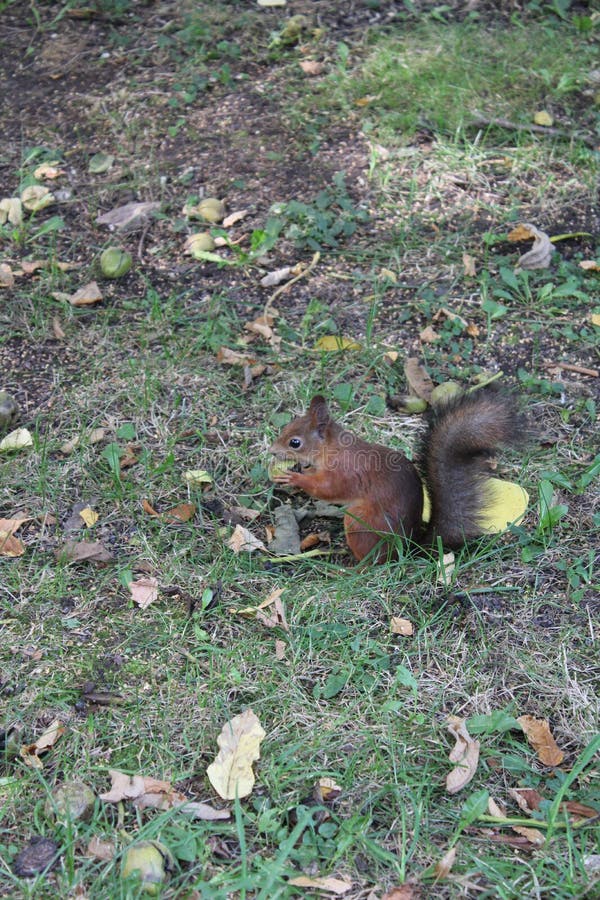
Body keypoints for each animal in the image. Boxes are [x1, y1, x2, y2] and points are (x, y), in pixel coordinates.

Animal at [269, 390, 526, 562]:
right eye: (286, 427)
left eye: (295, 443)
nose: (272, 451)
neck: (333, 449)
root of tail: (408, 548)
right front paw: (299, 471)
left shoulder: (345, 473)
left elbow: (328, 490)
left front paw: (294, 479)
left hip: (359, 523)